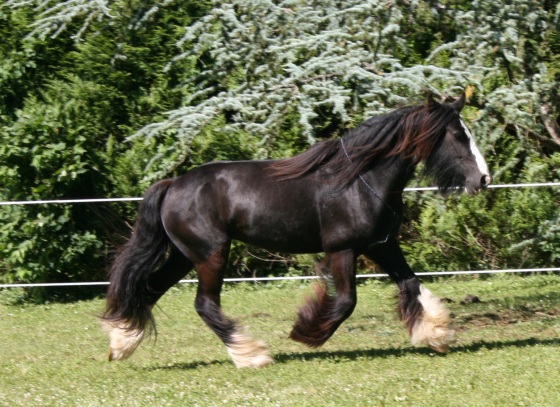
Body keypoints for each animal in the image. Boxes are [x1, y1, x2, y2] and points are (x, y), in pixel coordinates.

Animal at [101, 94, 490, 368]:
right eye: (458, 135)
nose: (483, 179)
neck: (360, 180)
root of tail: (172, 185)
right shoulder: (342, 249)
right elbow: (346, 301)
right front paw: (304, 333)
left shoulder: (381, 245)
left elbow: (411, 284)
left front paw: (437, 335)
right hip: (211, 255)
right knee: (204, 305)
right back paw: (252, 355)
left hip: (185, 255)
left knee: (149, 289)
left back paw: (121, 345)